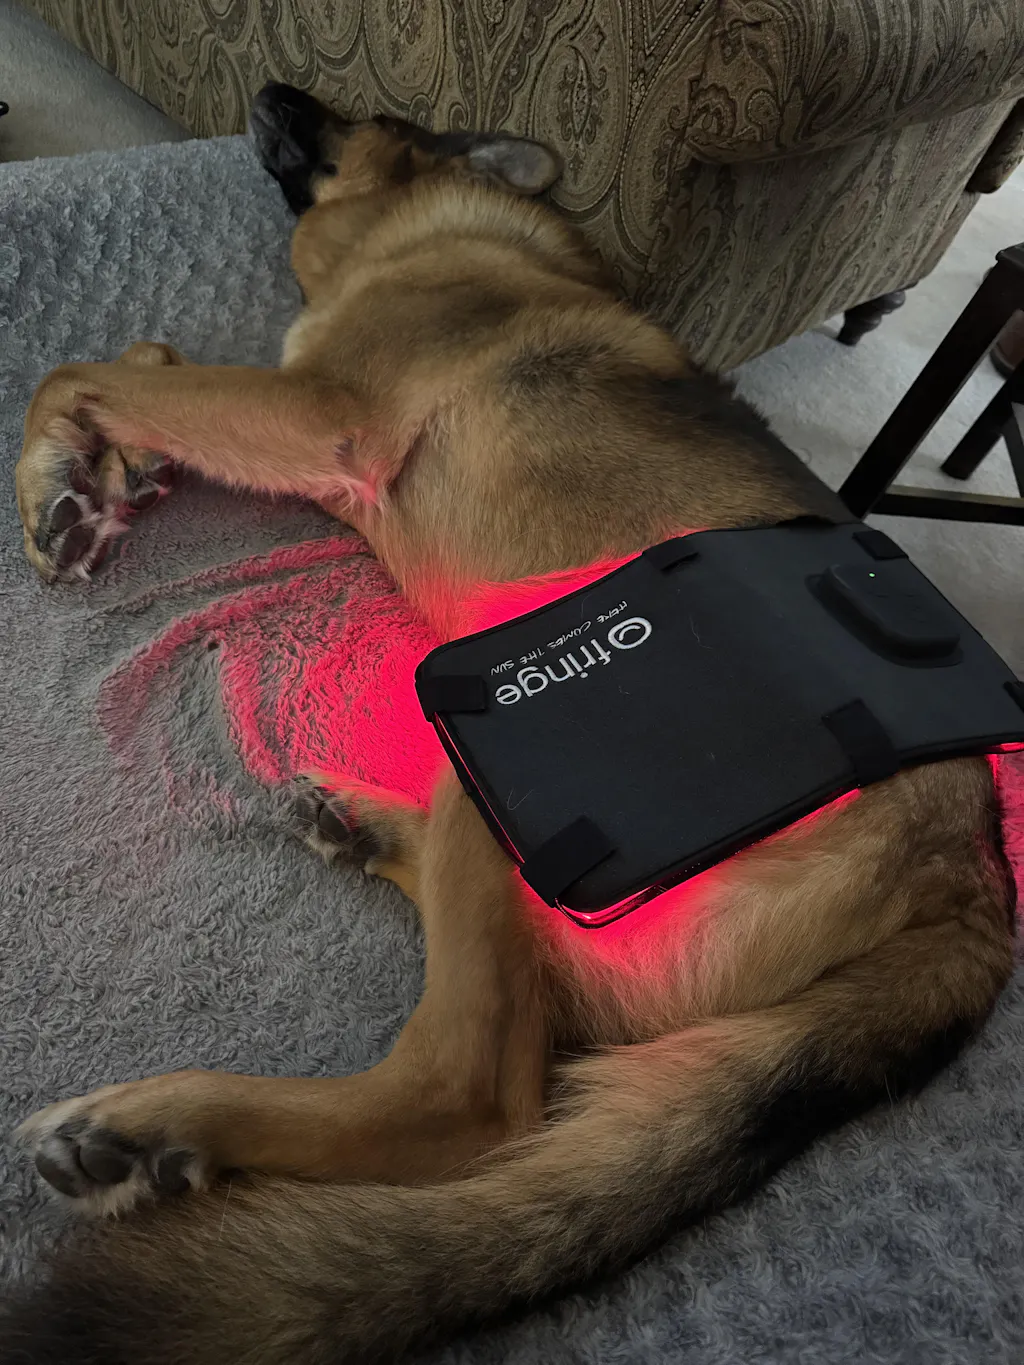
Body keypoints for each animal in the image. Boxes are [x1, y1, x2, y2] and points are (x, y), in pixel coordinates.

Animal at [4, 83, 1015, 1363]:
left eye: (364, 111)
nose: (275, 88)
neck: (439, 224)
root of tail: (973, 886)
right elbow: (141, 359)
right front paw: (96, 478)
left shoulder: (320, 411)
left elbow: (73, 363)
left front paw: (53, 474)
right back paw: (361, 829)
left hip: (506, 745)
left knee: (469, 1098)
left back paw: (163, 1125)